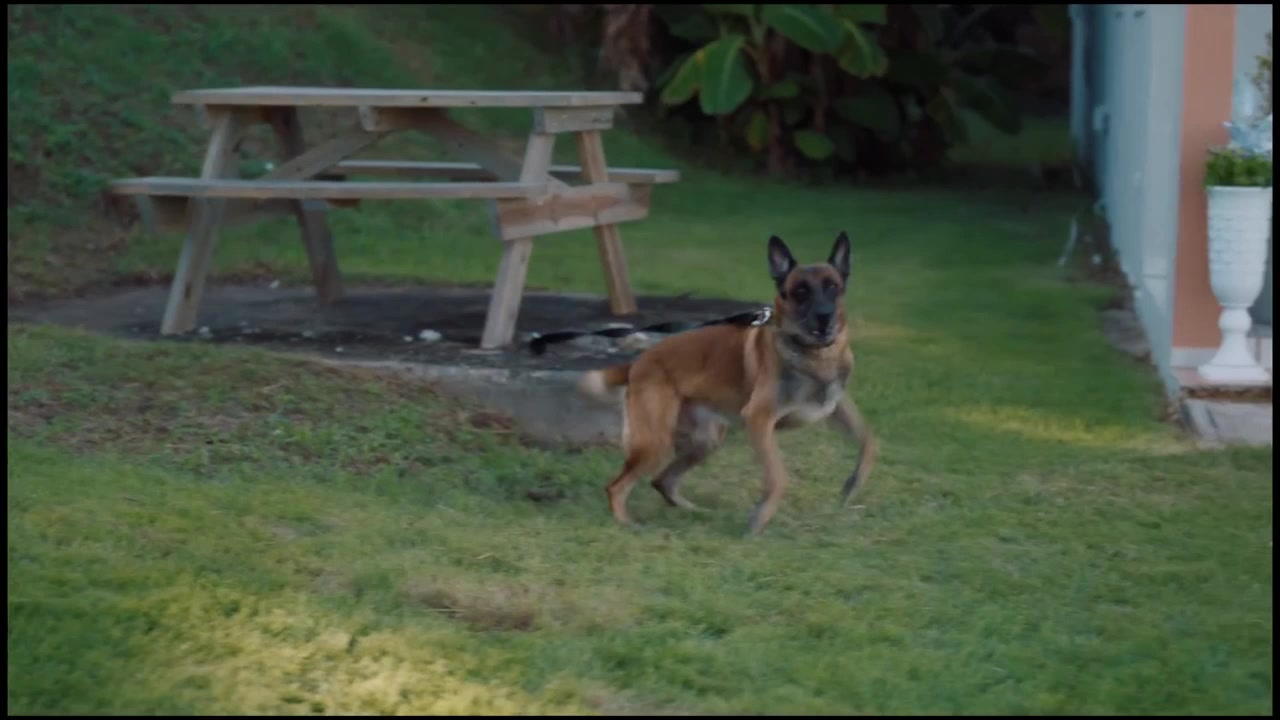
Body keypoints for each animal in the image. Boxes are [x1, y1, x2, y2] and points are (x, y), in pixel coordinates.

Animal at [577, 231, 878, 536]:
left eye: (833, 287)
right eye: (800, 291)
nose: (825, 315)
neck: (814, 355)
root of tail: (638, 362)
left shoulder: (835, 405)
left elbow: (869, 440)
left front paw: (853, 483)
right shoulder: (759, 421)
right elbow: (778, 477)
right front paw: (759, 520)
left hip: (706, 441)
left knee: (662, 480)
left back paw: (693, 511)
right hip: (655, 443)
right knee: (616, 487)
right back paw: (628, 523)